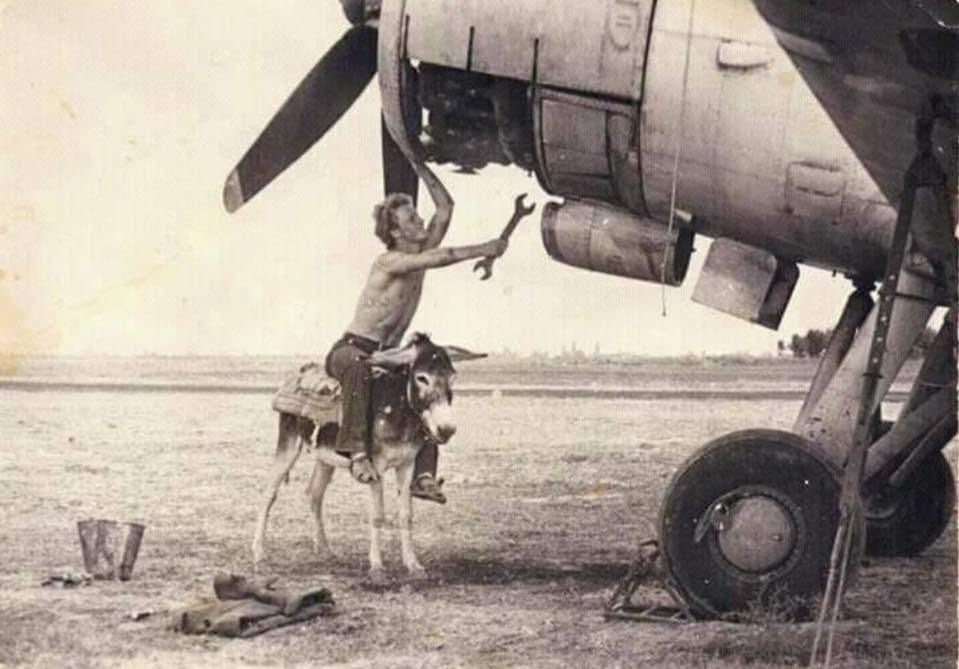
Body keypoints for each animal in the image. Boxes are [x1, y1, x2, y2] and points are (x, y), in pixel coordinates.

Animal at [252, 333, 473, 583]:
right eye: (421, 378)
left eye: (452, 378)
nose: (446, 430)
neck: (396, 411)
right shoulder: (376, 467)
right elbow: (377, 515)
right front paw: (377, 567)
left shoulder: (406, 465)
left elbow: (406, 515)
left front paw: (413, 565)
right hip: (288, 443)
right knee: (269, 493)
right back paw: (259, 555)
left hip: (325, 457)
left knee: (314, 494)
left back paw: (325, 549)